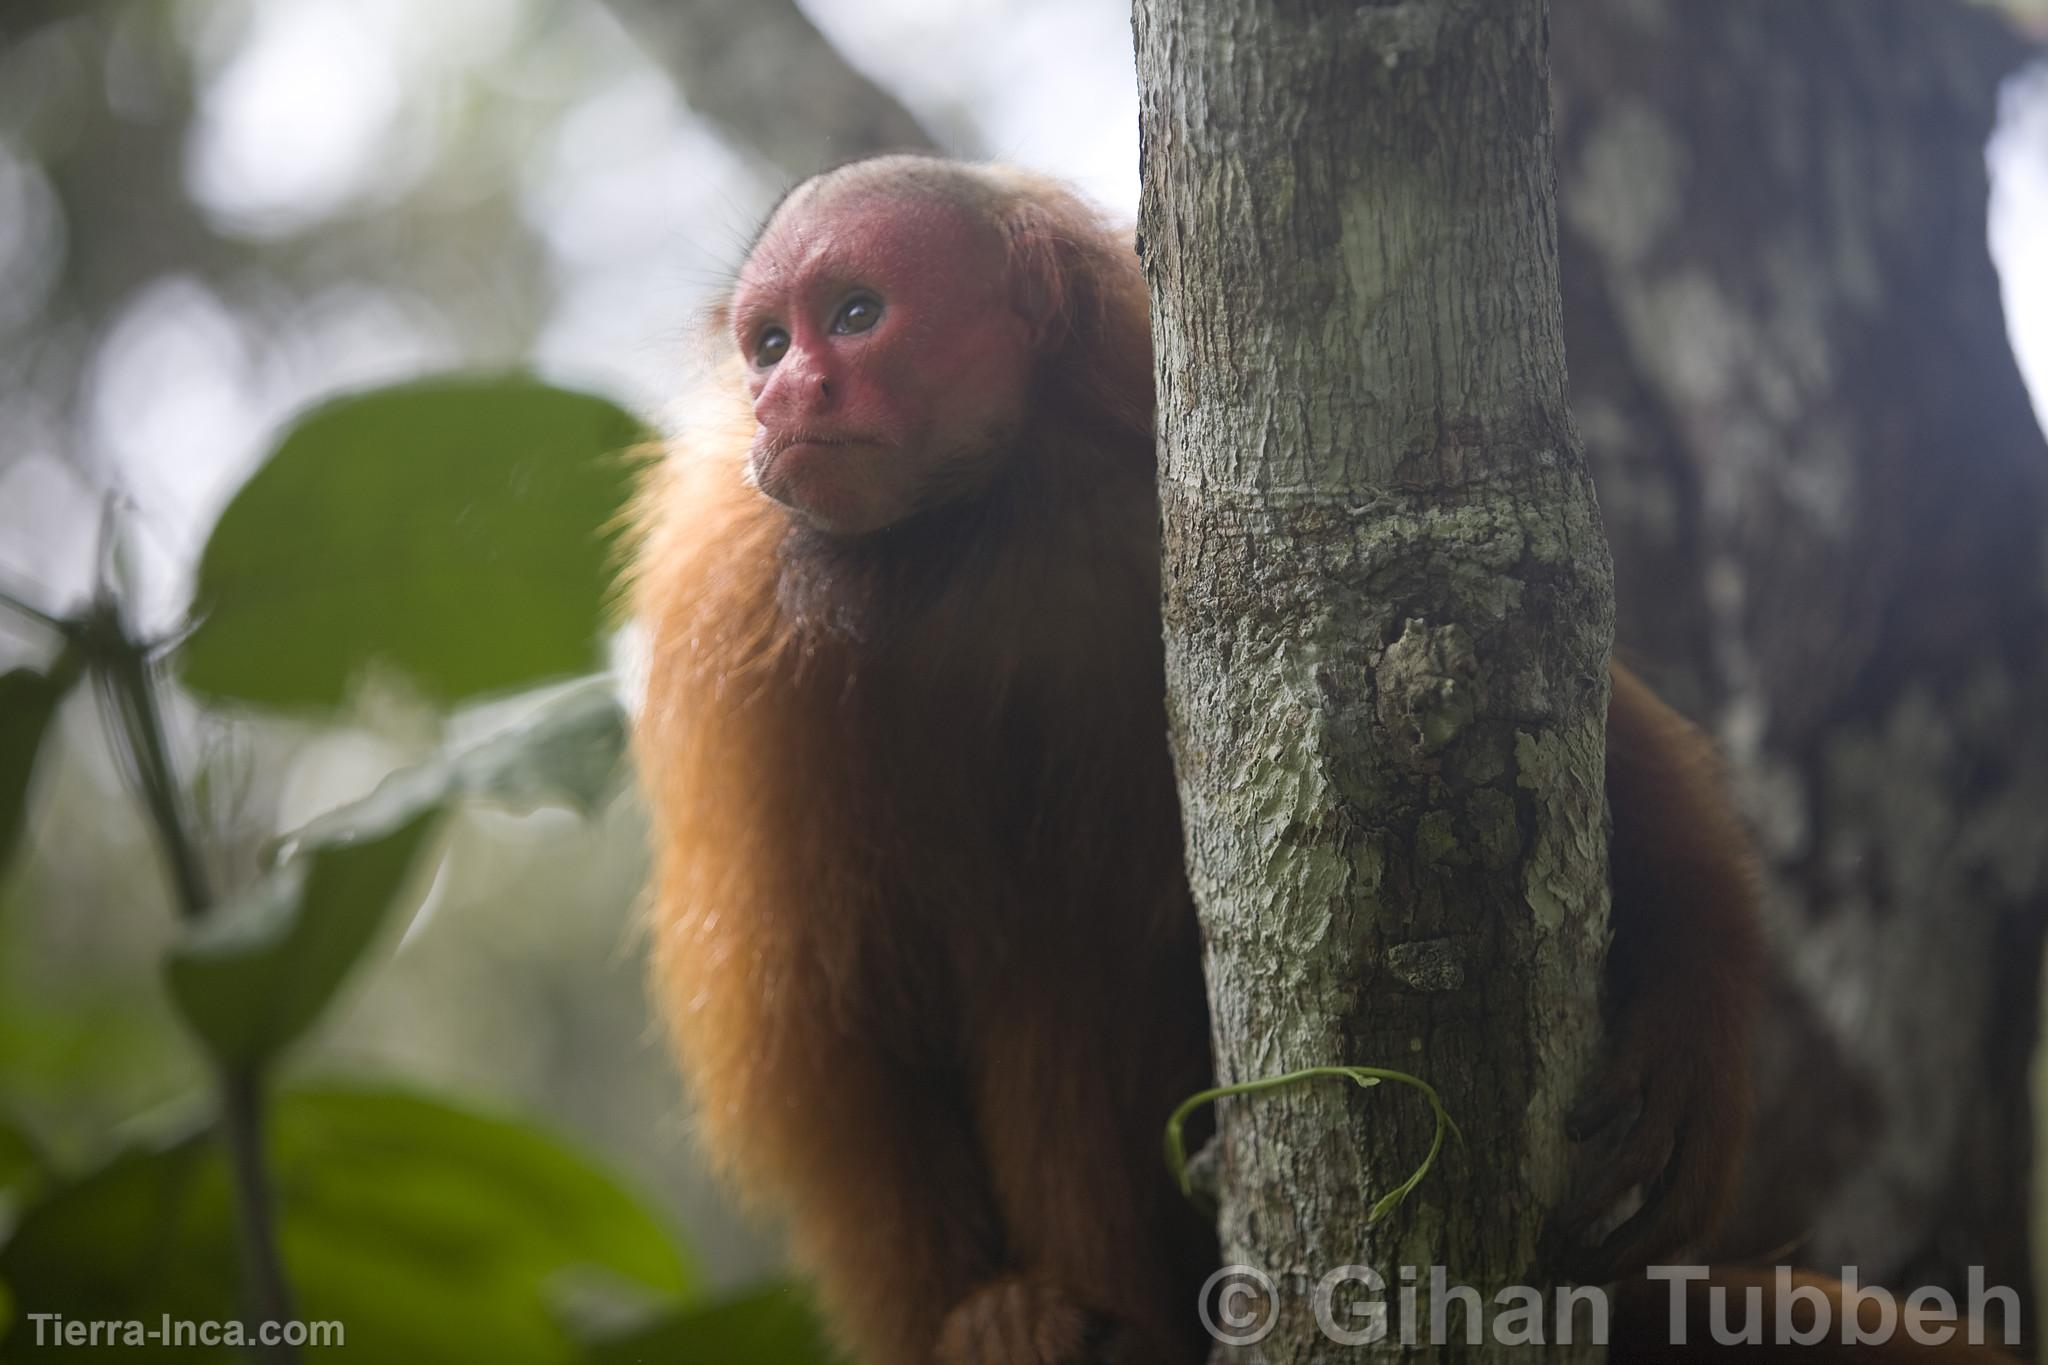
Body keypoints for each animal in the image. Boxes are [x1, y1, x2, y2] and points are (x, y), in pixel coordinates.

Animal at [626, 157, 1998, 1365]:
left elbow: (1599, 746)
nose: (783, 401)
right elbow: (833, 1030)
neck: (993, 524)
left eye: (853, 316)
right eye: (766, 344)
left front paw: (1691, 1048)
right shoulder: (747, 650)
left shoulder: (1171, 495)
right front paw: (981, 1318)